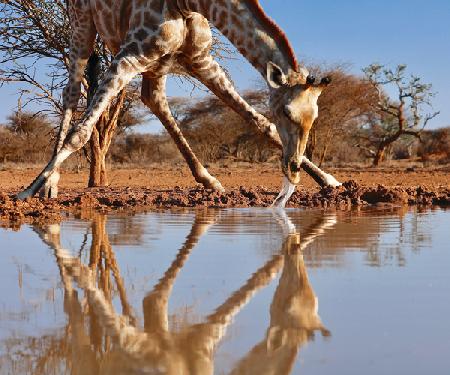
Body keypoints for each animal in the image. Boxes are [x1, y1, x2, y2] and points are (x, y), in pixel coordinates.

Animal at [18, 0, 342, 201]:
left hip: (156, 64)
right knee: (72, 92)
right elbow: (81, 132)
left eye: (314, 118)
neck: (190, 4)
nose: (293, 166)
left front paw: (330, 181)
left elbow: (260, 122)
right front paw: (27, 192)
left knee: (153, 99)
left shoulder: (201, 60)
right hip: (82, 22)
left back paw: (210, 180)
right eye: (286, 111)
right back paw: (49, 185)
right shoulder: (129, 55)